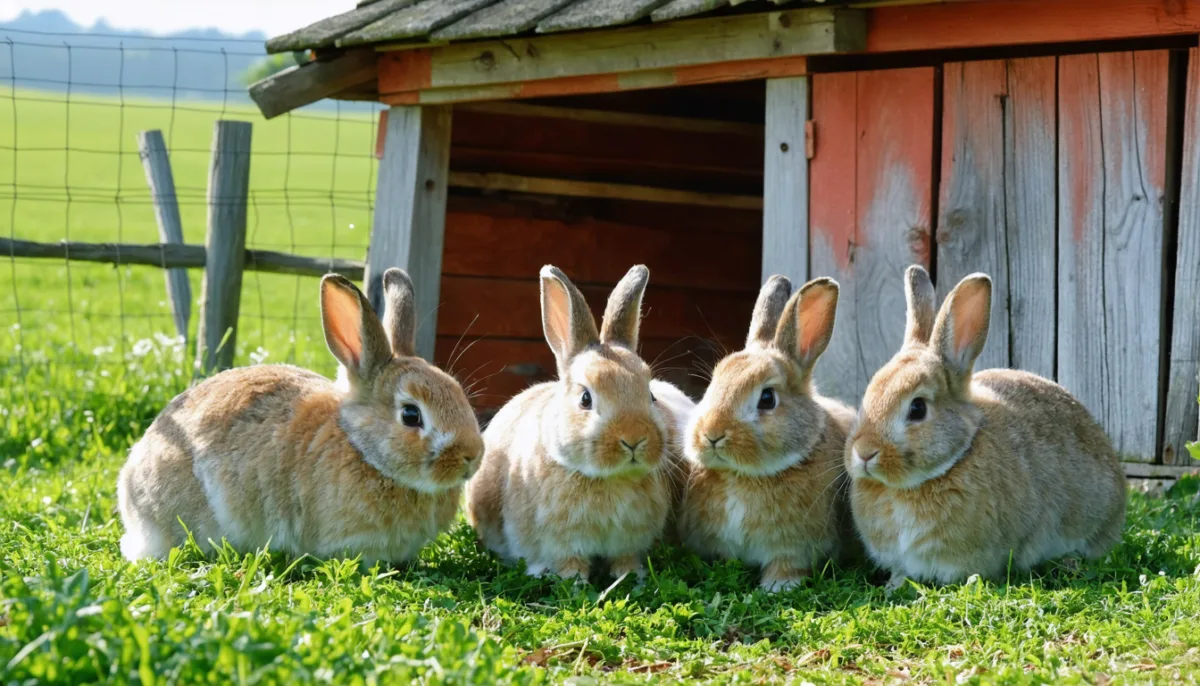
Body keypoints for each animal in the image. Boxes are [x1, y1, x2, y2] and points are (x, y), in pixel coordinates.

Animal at [465, 264, 695, 582]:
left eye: (650, 395)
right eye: (585, 399)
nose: (634, 439)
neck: (607, 479)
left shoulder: (627, 543)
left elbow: (625, 561)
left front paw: (632, 577)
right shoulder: (561, 543)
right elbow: (569, 564)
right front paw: (573, 582)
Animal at [677, 275, 857, 592]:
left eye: (767, 398)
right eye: (713, 384)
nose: (712, 435)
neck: (743, 476)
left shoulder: (794, 548)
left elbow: (785, 566)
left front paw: (778, 587)